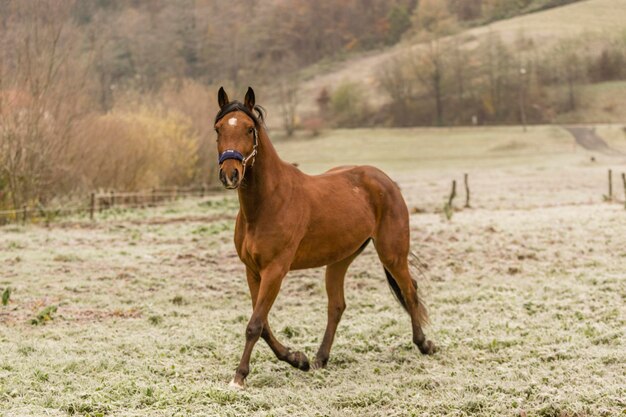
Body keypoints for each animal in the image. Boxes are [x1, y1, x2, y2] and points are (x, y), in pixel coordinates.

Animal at [214, 86, 434, 388]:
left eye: (249, 129)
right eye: (218, 129)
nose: (230, 174)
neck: (267, 203)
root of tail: (383, 179)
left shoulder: (275, 270)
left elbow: (255, 324)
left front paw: (239, 376)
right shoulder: (253, 271)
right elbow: (264, 324)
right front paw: (298, 359)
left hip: (392, 253)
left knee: (409, 290)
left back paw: (424, 344)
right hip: (340, 260)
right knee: (337, 306)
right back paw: (320, 358)